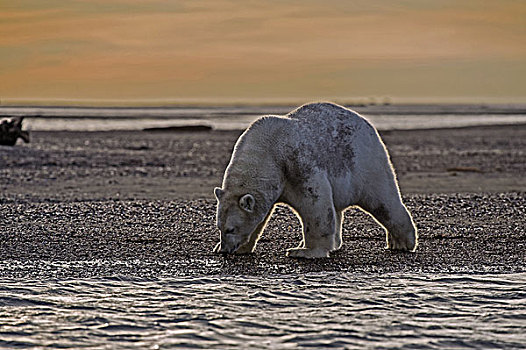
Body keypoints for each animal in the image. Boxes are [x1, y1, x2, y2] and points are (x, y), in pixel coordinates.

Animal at [213, 102, 416, 258]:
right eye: (219, 227)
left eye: (231, 229)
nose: (224, 250)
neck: (267, 148)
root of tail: (369, 127)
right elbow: (260, 215)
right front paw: (242, 247)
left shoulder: (297, 165)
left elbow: (315, 205)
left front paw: (304, 251)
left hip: (365, 164)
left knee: (383, 201)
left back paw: (403, 242)